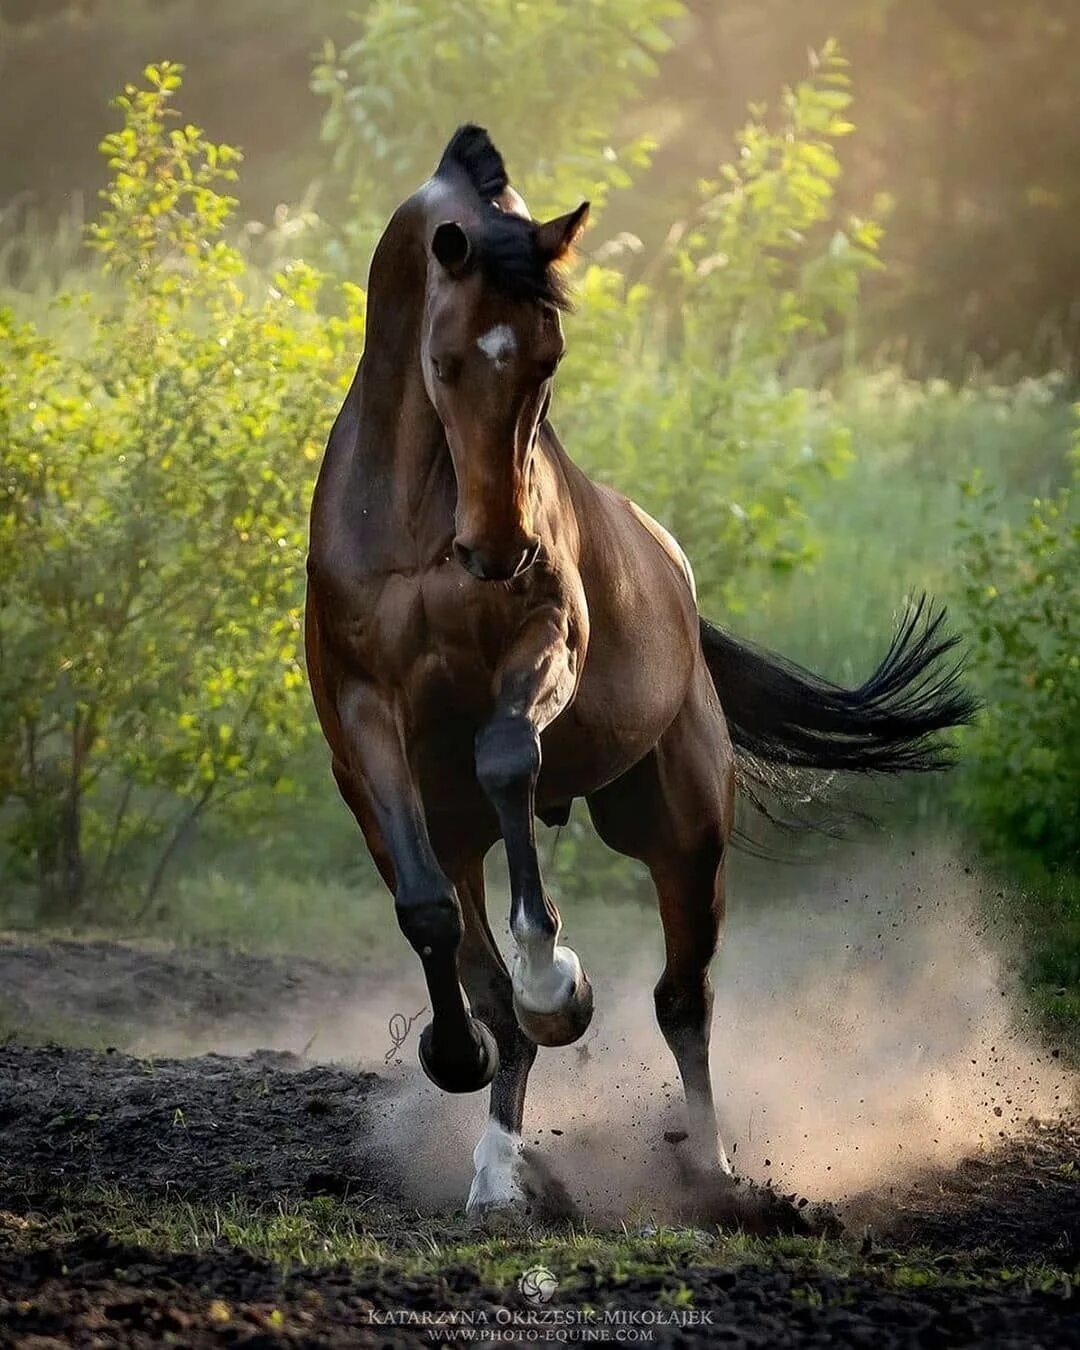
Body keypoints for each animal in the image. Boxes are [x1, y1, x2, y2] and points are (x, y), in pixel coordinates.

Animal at [306, 126, 977, 1220]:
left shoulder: (547, 644)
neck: (416, 521)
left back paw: (711, 1172)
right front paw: (455, 1053)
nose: (501, 548)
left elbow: (508, 756)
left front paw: (557, 977)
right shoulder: (367, 726)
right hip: (460, 822)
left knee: (682, 998)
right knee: (484, 966)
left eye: (548, 358)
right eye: (445, 360)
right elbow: (428, 916)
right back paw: (497, 1173)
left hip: (680, 826)